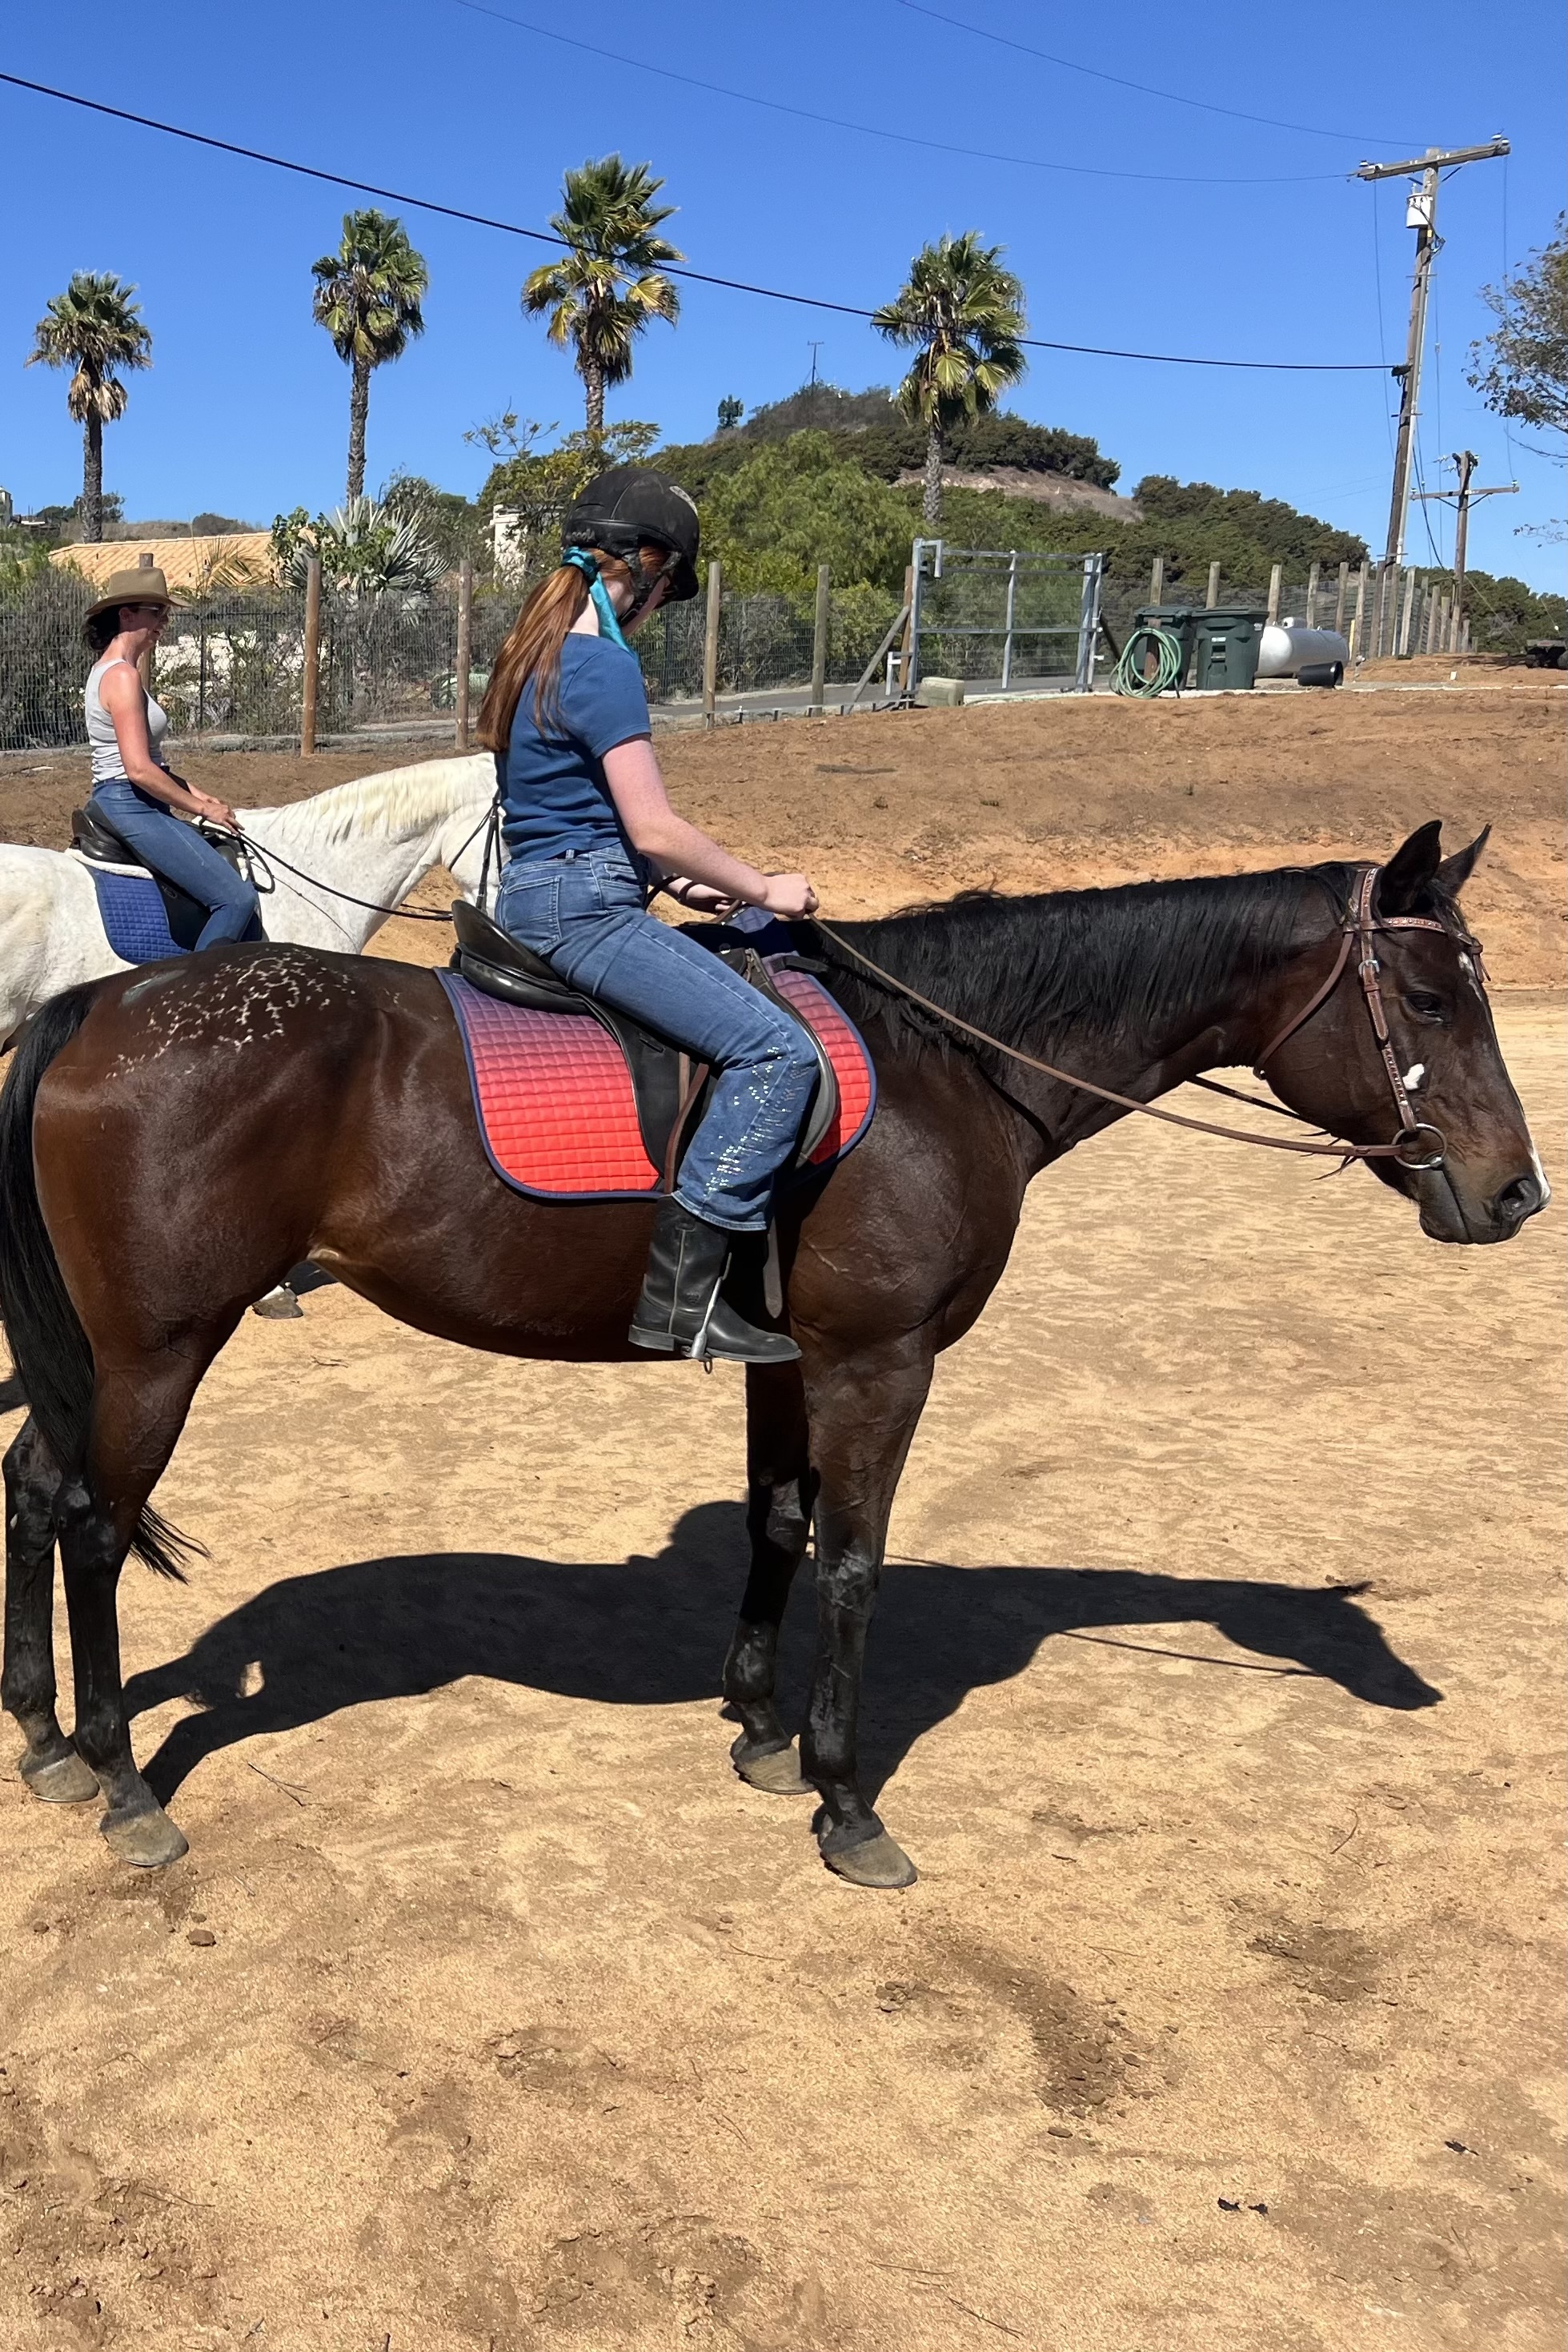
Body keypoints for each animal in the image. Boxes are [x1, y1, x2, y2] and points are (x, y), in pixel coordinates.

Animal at [0, 821, 1547, 1888]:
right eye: (1425, 1000)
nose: (1515, 1194)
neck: (941, 1061)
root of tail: (97, 1006)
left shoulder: (785, 1359)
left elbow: (777, 1521)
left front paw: (752, 1725)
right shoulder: (879, 1360)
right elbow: (854, 1561)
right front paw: (844, 1795)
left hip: (99, 1356)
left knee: (31, 1486)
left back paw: (43, 1735)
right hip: (159, 1349)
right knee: (93, 1523)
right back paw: (125, 1781)